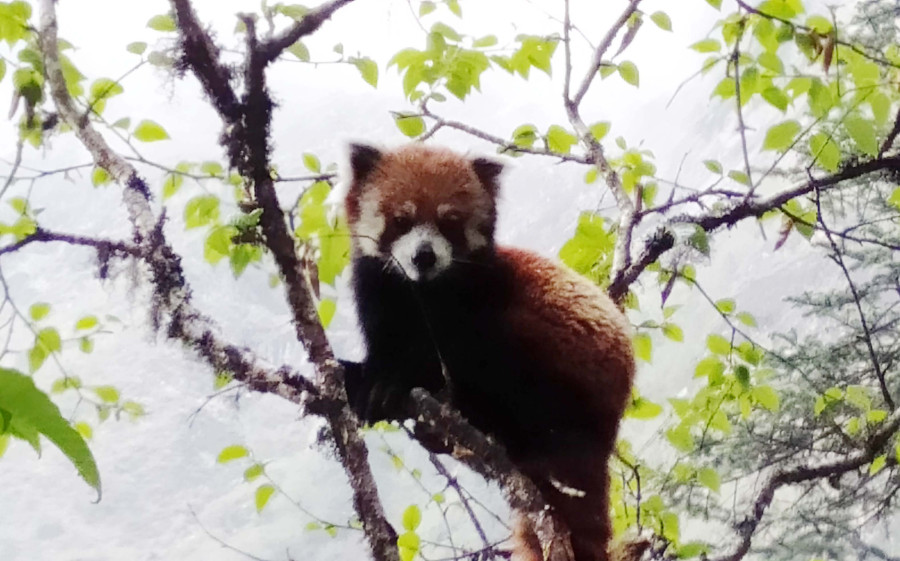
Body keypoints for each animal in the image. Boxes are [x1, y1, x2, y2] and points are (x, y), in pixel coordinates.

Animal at [340, 143, 635, 561]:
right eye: (401, 219)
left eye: (449, 221)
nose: (424, 256)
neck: (422, 291)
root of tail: (606, 432)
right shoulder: (377, 292)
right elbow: (383, 348)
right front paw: (366, 378)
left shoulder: (473, 297)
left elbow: (432, 359)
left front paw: (391, 386)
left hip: (556, 362)